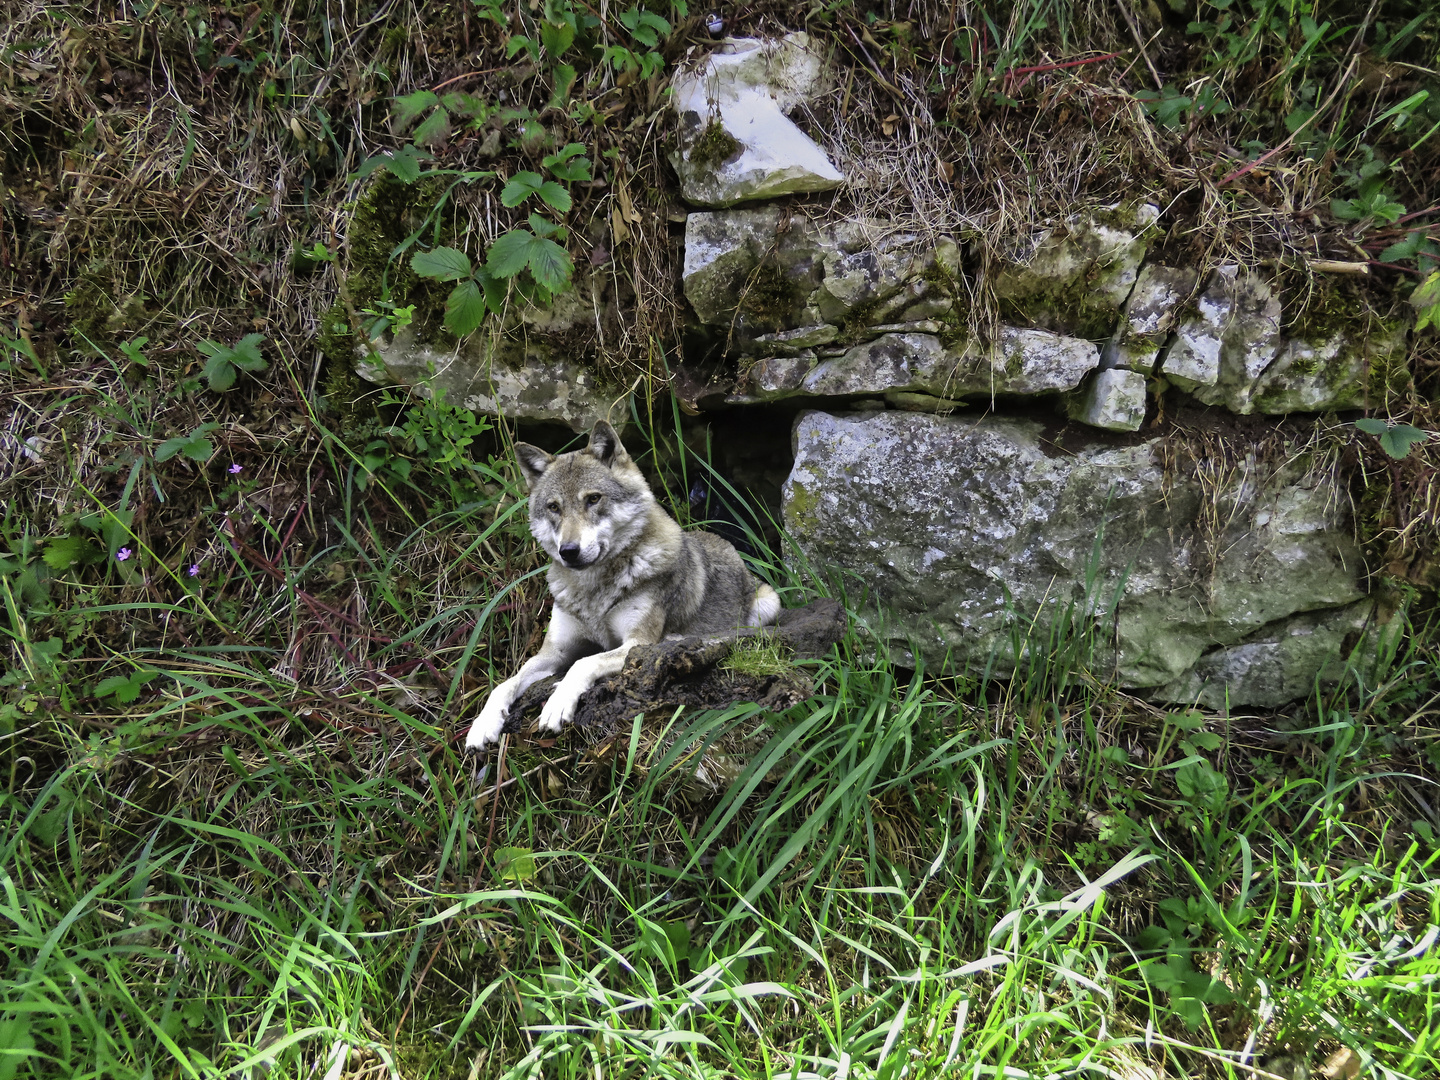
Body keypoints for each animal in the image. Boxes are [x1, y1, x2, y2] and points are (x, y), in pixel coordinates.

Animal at [463, 423, 783, 754]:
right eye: (554, 507)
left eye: (593, 499)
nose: (569, 551)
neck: (593, 590)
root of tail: (727, 544)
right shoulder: (553, 652)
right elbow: (505, 683)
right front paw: (483, 725)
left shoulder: (635, 643)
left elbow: (583, 663)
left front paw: (557, 703)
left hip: (768, 602)